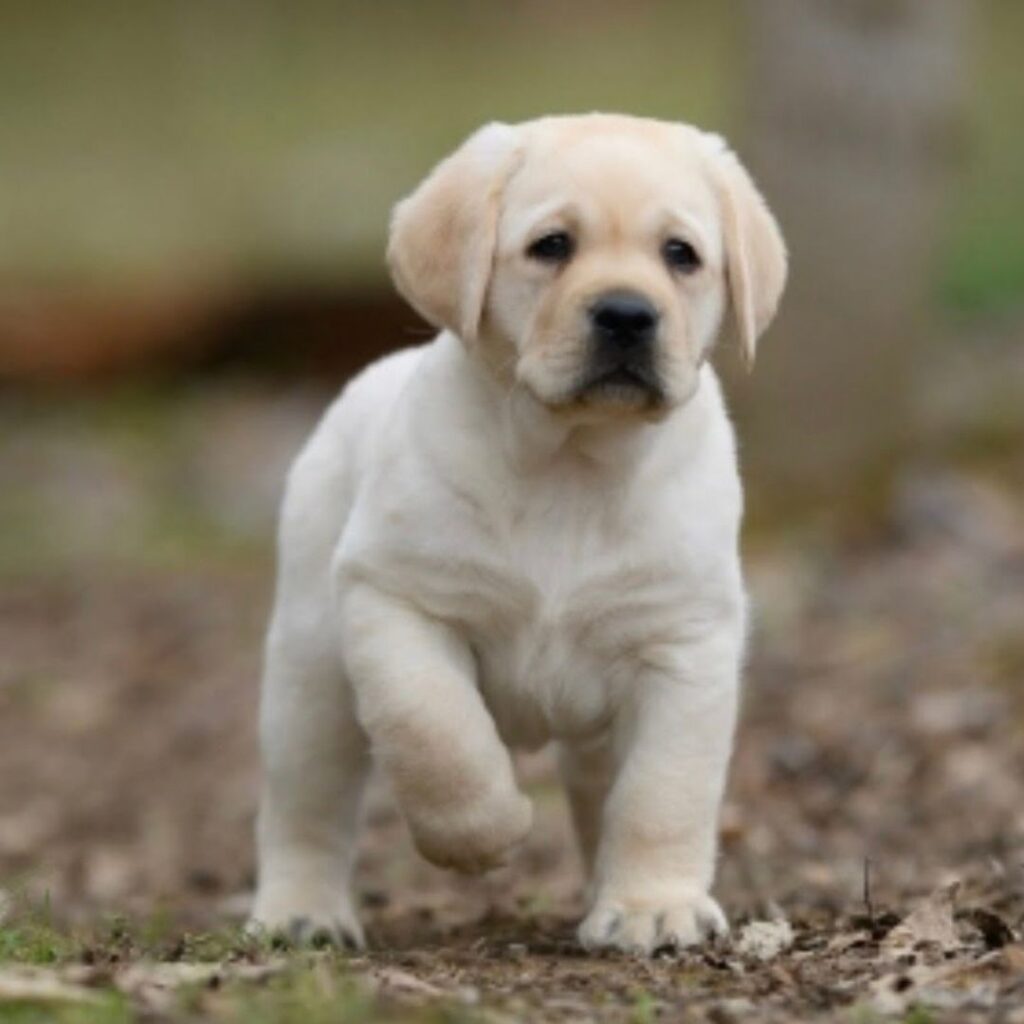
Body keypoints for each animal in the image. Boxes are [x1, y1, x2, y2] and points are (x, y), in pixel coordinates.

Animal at [249, 116, 782, 954]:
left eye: (681, 255)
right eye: (551, 245)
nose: (628, 314)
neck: (571, 461)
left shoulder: (684, 646)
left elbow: (663, 794)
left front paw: (651, 908)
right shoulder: (396, 600)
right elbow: (435, 730)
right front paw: (482, 834)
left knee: (603, 798)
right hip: (309, 676)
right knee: (306, 802)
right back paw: (300, 913)